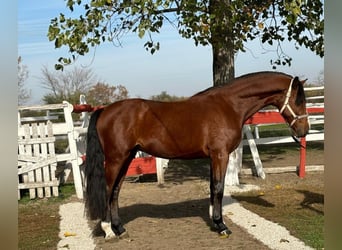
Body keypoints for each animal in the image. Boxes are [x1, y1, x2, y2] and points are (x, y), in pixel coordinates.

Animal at [85, 71, 310, 241]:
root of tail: (105, 110)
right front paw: (221, 225)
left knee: (115, 192)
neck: (228, 105)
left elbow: (212, 186)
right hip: (116, 159)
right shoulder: (220, 155)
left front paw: (214, 220)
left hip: (127, 158)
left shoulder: (213, 157)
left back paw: (119, 228)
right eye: (298, 101)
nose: (304, 131)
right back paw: (108, 230)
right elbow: (218, 187)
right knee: (107, 190)